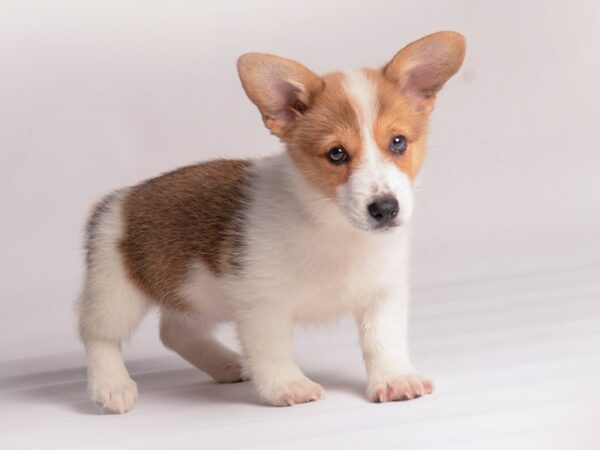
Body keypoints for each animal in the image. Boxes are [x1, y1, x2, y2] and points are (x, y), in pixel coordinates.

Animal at [77, 31, 466, 414]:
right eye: (336, 153)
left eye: (398, 142)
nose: (385, 208)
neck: (334, 227)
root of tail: (116, 200)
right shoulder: (262, 305)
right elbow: (272, 350)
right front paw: (287, 386)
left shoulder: (383, 293)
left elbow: (384, 340)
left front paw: (395, 379)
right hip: (117, 291)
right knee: (97, 334)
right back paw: (111, 385)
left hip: (198, 294)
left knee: (175, 332)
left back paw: (225, 364)